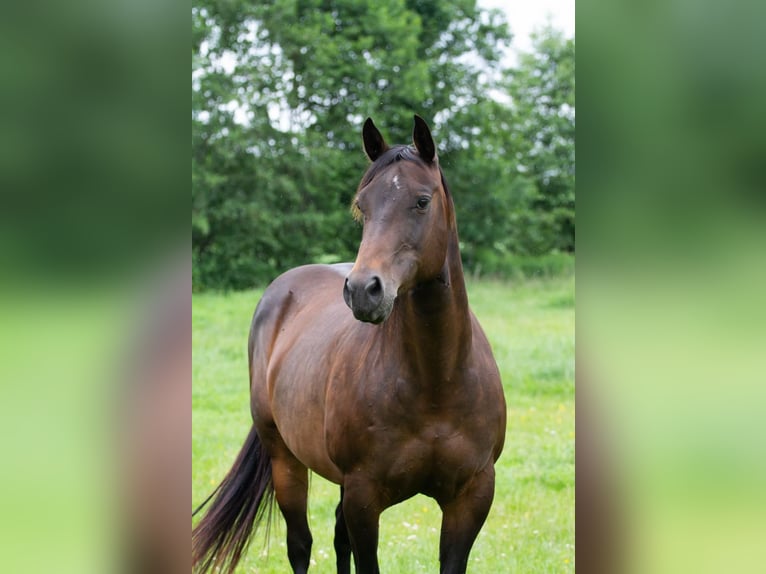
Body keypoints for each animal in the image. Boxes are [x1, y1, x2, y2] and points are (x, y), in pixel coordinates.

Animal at [192, 117, 508, 574]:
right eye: (363, 206)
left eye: (422, 201)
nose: (363, 290)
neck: (436, 382)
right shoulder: (364, 495)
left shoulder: (472, 496)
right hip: (286, 461)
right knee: (301, 545)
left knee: (338, 540)